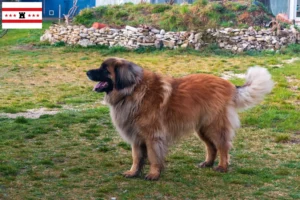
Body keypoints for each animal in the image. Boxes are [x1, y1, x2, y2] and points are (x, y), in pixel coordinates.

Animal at [85, 57, 274, 180]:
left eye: (104, 70)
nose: (87, 72)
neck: (132, 91)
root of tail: (230, 85)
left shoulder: (153, 136)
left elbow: (153, 157)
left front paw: (153, 174)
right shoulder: (136, 137)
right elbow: (137, 157)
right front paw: (133, 172)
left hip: (214, 126)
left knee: (223, 146)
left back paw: (222, 167)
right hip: (202, 129)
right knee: (211, 147)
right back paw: (207, 163)